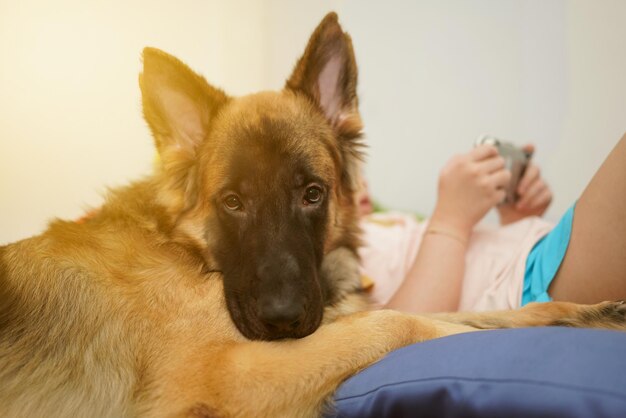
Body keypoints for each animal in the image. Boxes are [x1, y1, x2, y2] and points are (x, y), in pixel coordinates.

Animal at [1, 11, 624, 416]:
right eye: (232, 202)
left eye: (312, 194)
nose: (282, 319)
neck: (182, 247)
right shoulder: (231, 376)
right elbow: (405, 323)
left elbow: (458, 316)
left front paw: (582, 313)